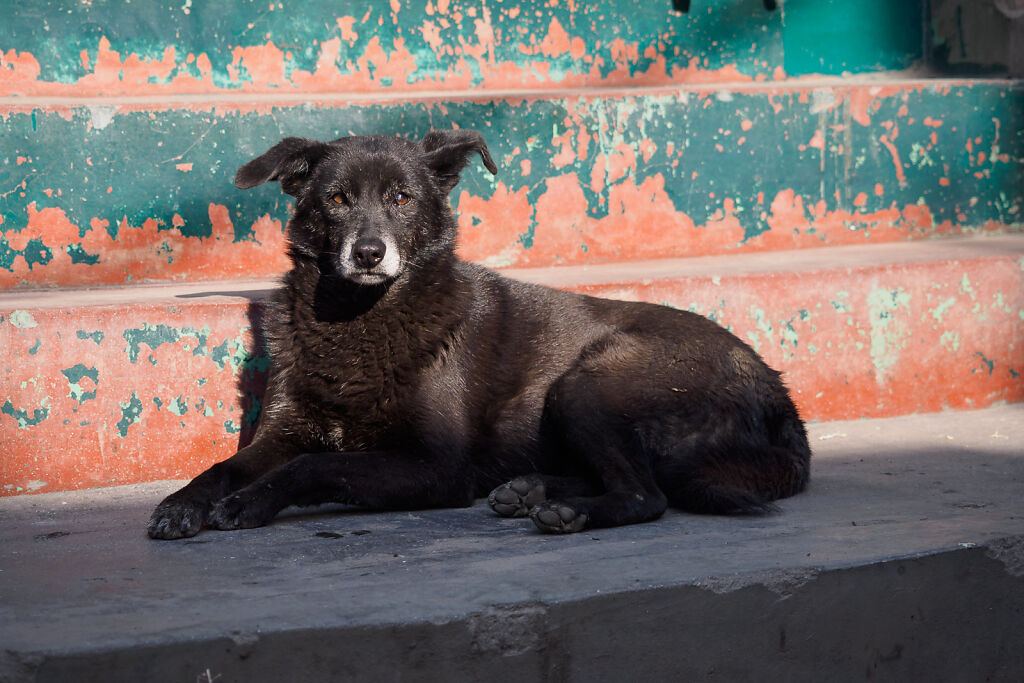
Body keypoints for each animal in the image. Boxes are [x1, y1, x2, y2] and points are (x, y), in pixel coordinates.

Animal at [148, 129, 811, 540]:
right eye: (336, 198)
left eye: (402, 198)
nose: (369, 252)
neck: (356, 317)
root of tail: (780, 399)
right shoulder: (282, 430)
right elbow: (224, 466)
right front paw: (182, 504)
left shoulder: (439, 467)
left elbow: (313, 466)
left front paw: (249, 503)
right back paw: (529, 490)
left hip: (590, 384)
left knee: (647, 495)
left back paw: (562, 509)